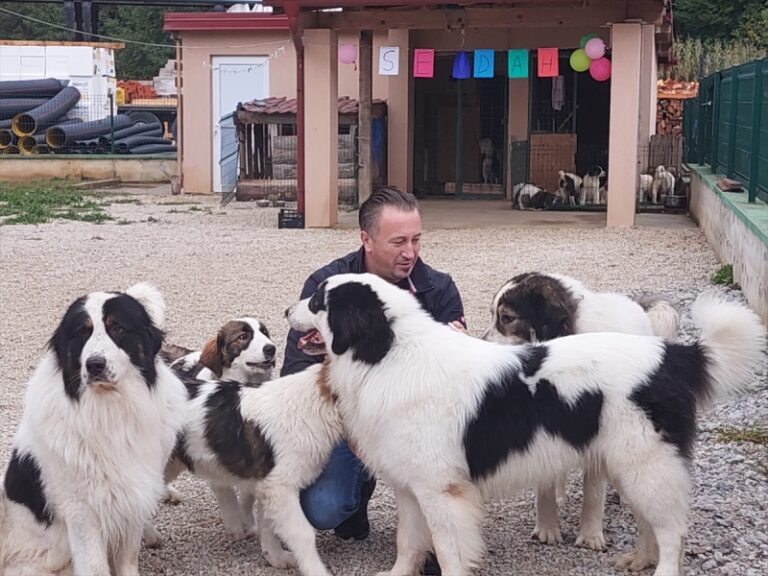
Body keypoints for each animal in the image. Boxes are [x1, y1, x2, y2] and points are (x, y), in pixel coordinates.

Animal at [1, 284, 188, 576]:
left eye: (118, 328)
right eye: (82, 332)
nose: (95, 364)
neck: (109, 409)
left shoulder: (133, 494)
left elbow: (128, 557)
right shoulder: (82, 509)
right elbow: (95, 565)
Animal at [286, 272, 760, 576]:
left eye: (317, 300)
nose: (289, 308)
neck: (388, 354)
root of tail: (672, 356)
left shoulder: (441, 490)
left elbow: (448, 549)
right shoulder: (411, 486)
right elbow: (409, 541)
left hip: (647, 463)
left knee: (673, 530)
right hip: (632, 466)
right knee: (651, 522)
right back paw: (640, 560)